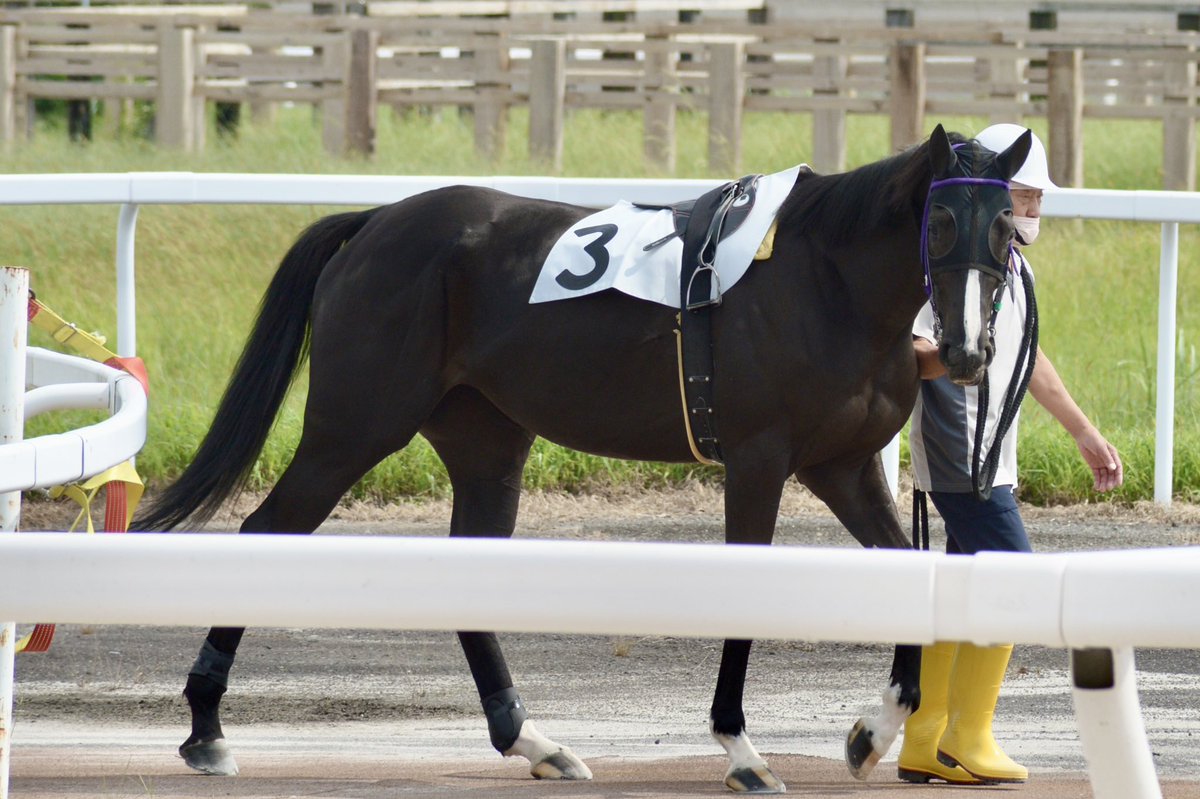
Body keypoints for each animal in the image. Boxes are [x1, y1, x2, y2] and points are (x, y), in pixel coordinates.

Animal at [132, 123, 1030, 793]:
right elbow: (747, 594)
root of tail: (376, 221)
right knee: (264, 531)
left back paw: (532, 739)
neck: (826, 279)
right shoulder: (759, 460)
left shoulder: (841, 464)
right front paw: (743, 751)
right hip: (353, 426)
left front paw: (871, 730)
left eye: (1007, 230)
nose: (965, 352)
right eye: (941, 225)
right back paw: (206, 727)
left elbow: (910, 572)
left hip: (485, 443)